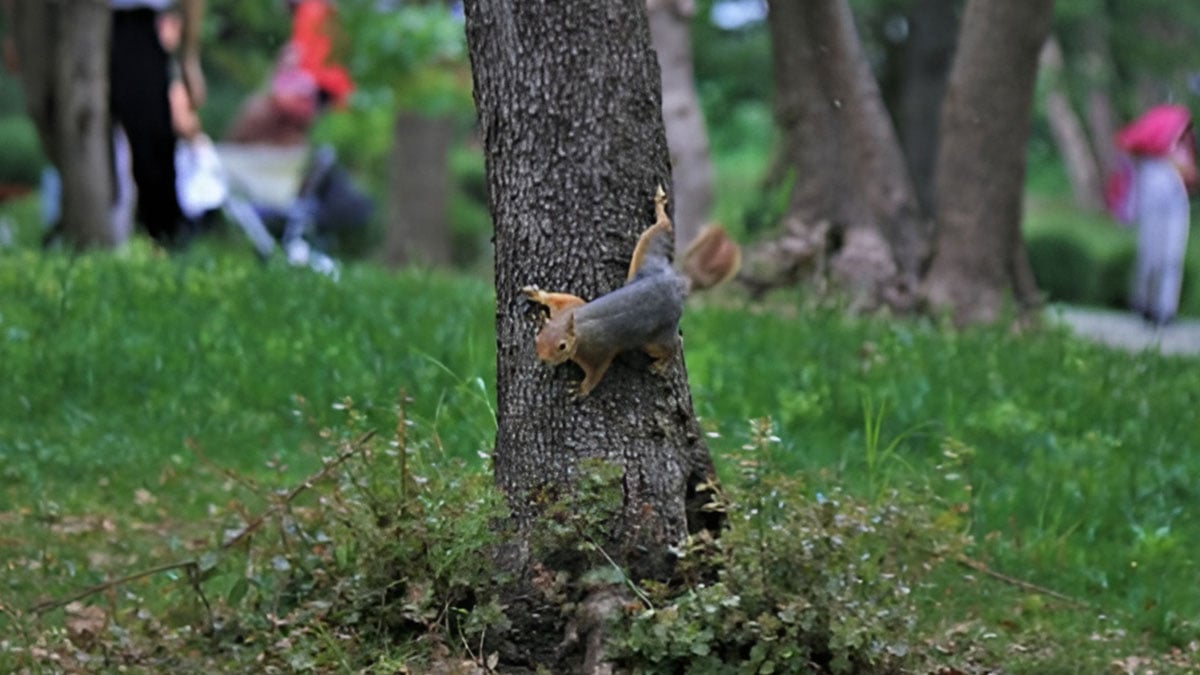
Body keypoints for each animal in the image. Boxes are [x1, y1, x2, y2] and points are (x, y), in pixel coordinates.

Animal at [523, 184, 739, 393]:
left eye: (562, 346)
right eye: (538, 336)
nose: (543, 358)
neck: (577, 328)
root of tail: (677, 283)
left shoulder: (598, 352)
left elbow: (597, 372)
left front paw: (581, 389)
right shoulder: (570, 307)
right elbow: (561, 298)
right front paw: (537, 294)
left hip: (656, 338)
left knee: (674, 345)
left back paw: (662, 363)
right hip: (647, 253)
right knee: (661, 227)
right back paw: (659, 204)